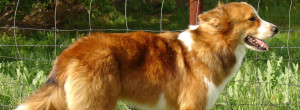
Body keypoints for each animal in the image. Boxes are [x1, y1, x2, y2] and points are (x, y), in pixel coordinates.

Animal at [15, 1, 278, 110]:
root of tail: (71, 51)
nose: (276, 29)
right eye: (252, 19)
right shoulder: (192, 106)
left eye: (257, 16)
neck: (214, 43)